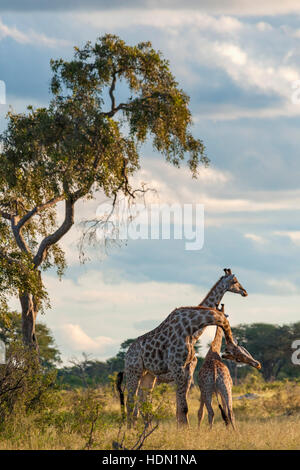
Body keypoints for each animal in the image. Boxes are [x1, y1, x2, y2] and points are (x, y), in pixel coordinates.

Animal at [119, 302, 253, 428]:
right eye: (239, 357)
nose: (255, 364)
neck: (190, 326)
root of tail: (127, 353)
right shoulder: (177, 366)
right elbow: (183, 406)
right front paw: (185, 430)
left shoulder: (186, 369)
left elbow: (182, 405)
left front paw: (184, 429)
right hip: (133, 371)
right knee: (130, 401)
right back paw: (130, 430)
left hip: (148, 375)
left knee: (144, 402)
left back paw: (145, 429)